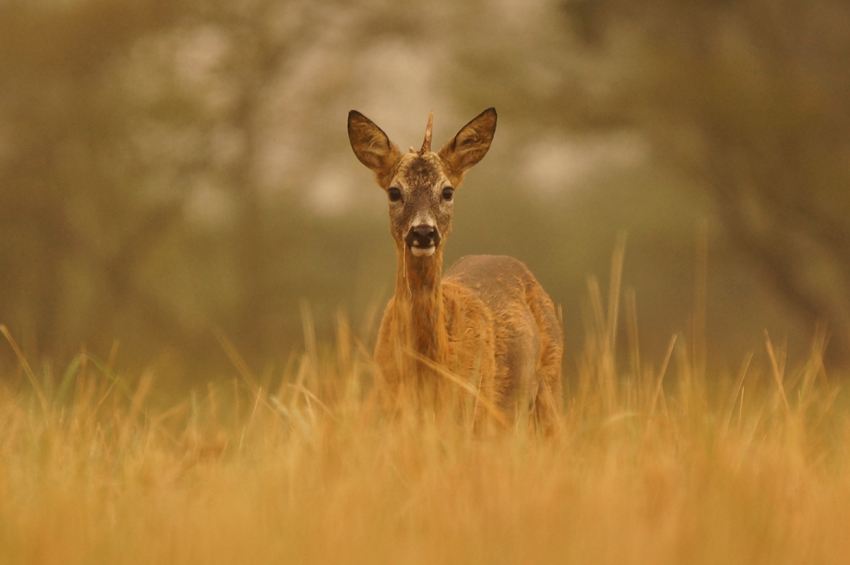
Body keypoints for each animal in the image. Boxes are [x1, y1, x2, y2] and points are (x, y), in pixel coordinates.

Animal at [346, 108, 564, 434]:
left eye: (447, 191)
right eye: (394, 192)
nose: (423, 233)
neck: (427, 368)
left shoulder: (475, 407)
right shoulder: (391, 406)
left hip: (548, 384)